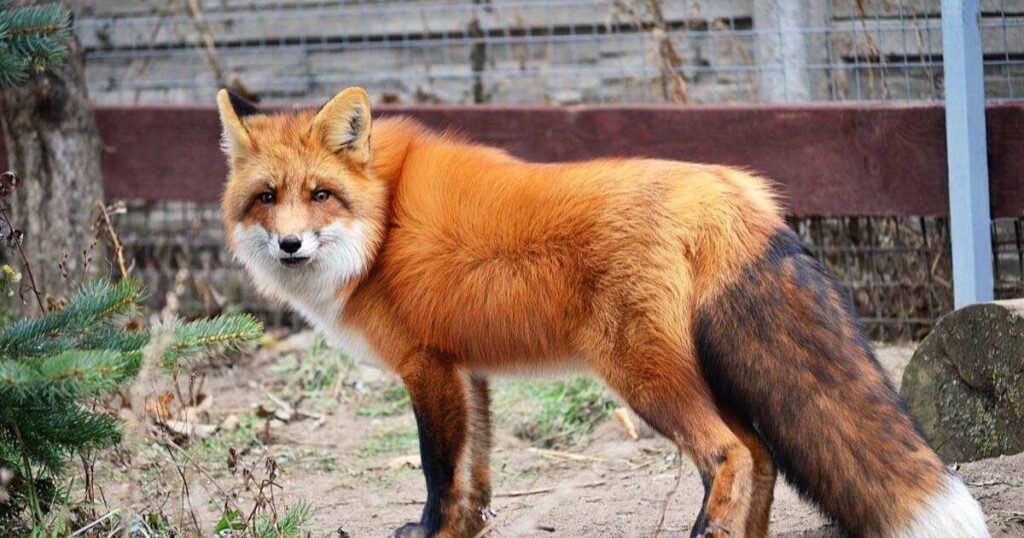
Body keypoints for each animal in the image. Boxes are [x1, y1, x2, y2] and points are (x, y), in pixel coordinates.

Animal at [216, 86, 989, 538]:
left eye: (320, 195)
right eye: (267, 198)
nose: (289, 244)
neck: (381, 226)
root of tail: (726, 188)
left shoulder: (425, 367)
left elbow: (438, 471)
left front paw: (430, 531)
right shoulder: (467, 370)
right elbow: (477, 476)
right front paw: (466, 531)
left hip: (642, 375)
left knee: (731, 454)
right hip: (693, 374)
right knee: (762, 458)